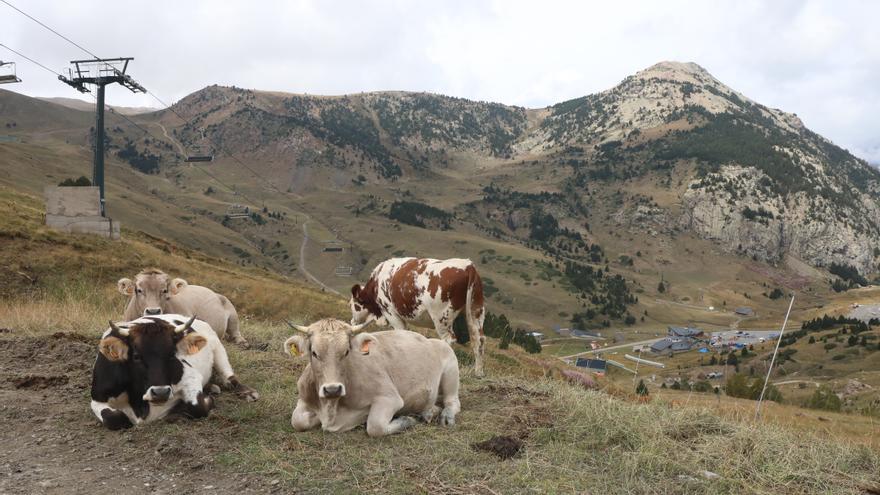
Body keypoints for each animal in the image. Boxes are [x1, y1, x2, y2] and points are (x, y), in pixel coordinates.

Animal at [286, 318, 460, 438]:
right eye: (314, 353)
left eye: (346, 351)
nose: (332, 389)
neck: (332, 408)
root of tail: (428, 338)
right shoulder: (303, 398)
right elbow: (297, 421)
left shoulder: (389, 397)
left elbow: (375, 427)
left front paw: (407, 420)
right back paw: (428, 412)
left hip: (451, 366)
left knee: (452, 401)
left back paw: (445, 415)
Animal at [350, 260, 488, 376]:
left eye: (353, 305)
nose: (352, 322)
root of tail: (468, 266)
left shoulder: (390, 312)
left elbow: (400, 333)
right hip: (476, 311)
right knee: (479, 339)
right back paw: (478, 372)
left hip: (441, 316)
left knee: (449, 340)